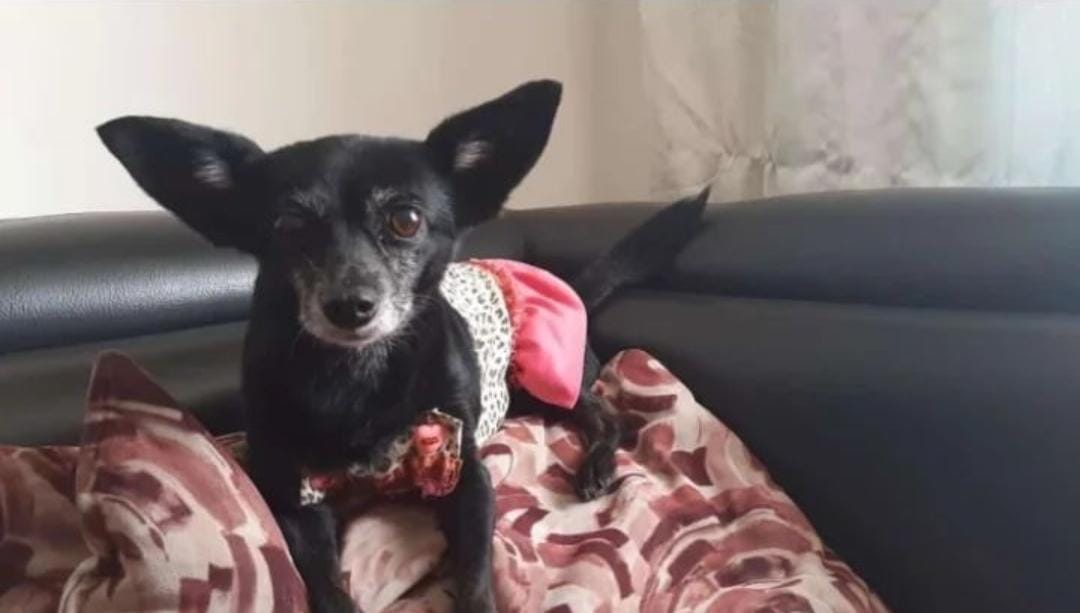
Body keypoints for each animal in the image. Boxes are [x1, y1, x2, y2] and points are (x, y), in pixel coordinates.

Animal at [97, 80, 705, 613]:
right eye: (288, 225)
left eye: (406, 219)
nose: (350, 305)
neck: (356, 375)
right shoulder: (295, 498)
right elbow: (326, 587)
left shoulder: (469, 478)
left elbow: (476, 577)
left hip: (549, 374)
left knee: (606, 414)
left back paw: (598, 466)